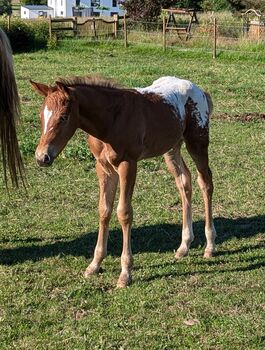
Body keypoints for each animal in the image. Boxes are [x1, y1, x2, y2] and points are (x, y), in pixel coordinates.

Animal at [31, 76, 217, 288]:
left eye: (63, 117)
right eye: (41, 116)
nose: (41, 157)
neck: (111, 120)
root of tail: (198, 89)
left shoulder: (128, 164)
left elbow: (124, 213)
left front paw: (125, 273)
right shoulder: (103, 168)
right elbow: (104, 210)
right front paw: (94, 264)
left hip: (197, 142)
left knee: (205, 182)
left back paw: (210, 246)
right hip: (171, 148)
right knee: (184, 182)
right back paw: (184, 246)